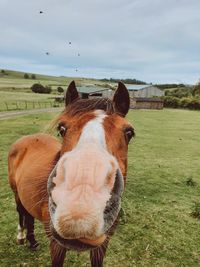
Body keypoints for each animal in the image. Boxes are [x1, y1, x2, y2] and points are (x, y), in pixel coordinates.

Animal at [8, 81, 135, 267]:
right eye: (62, 128)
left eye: (129, 133)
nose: (80, 205)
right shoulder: (56, 245)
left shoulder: (102, 244)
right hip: (16, 192)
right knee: (20, 211)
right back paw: (21, 237)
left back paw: (32, 242)